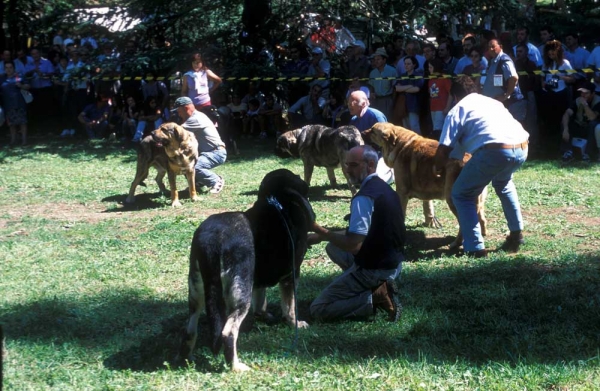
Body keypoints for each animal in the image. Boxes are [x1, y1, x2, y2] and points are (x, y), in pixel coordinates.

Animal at [182, 170, 314, 372]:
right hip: (241, 291)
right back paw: (236, 367)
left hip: (197, 291)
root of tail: (211, 240)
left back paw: (188, 359)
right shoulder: (291, 275)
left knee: (190, 329)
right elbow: (290, 308)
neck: (277, 202)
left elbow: (261, 302)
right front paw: (296, 324)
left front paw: (263, 315)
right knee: (228, 331)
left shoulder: (257, 279)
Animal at [360, 122, 488, 250]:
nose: (361, 132)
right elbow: (428, 207)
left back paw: (457, 243)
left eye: (373, 131)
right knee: (481, 220)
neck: (398, 144)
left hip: (453, 201)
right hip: (477, 202)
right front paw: (429, 222)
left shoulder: (401, 193)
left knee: (465, 225)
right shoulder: (426, 190)